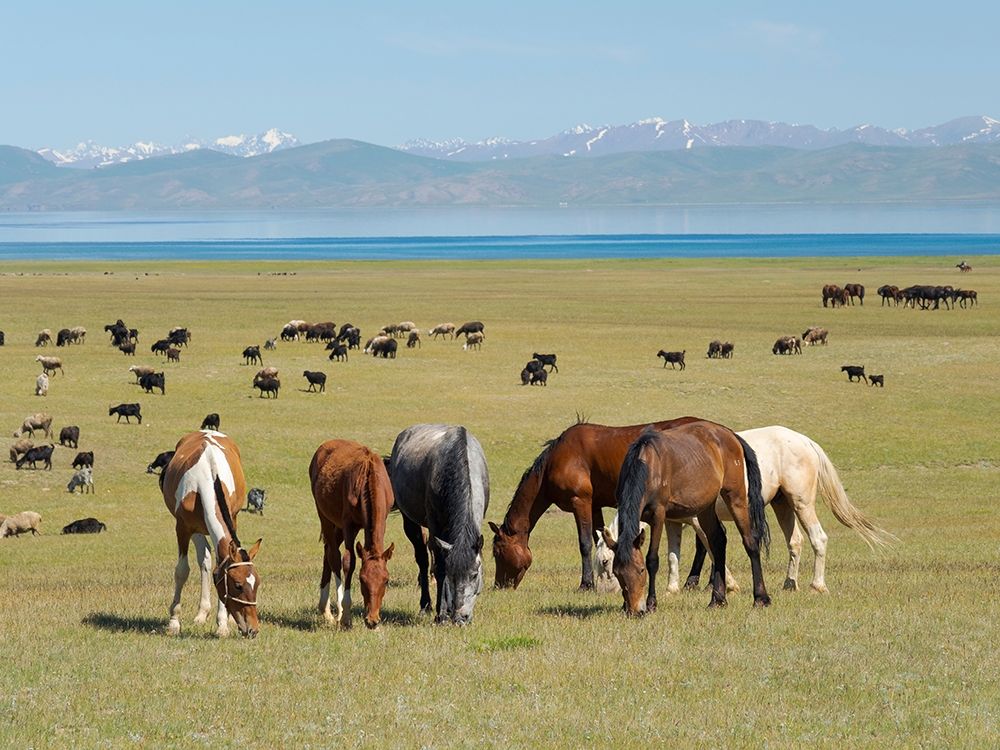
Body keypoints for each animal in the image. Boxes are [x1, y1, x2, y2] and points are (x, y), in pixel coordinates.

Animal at [161, 431, 262, 638]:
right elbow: (182, 571)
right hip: (197, 529)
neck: (208, 478)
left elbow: (220, 565)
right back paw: (201, 614)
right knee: (204, 558)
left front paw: (222, 623)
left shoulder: (233, 518)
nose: (253, 629)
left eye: (257, 584)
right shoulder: (183, 527)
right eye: (238, 585)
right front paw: (174, 621)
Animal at [309, 439, 395, 629]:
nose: (372, 620)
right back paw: (336, 612)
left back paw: (325, 610)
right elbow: (348, 561)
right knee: (333, 555)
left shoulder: (383, 520)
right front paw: (346, 616)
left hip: (338, 526)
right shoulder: (349, 525)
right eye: (362, 580)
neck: (367, 478)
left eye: (386, 580)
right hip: (325, 516)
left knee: (328, 551)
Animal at [388, 424, 490, 624]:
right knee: (423, 559)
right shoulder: (435, 526)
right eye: (452, 575)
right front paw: (441, 613)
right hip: (411, 522)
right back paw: (426, 605)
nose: (461, 618)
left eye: (475, 574)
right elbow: (439, 567)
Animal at [490, 416, 702, 590]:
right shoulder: (594, 506)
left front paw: (586, 584)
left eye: (497, 553)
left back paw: (692, 582)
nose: (499, 585)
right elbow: (598, 539)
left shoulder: (580, 502)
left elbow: (584, 543)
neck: (556, 460)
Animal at [605, 422, 771, 614]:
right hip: (706, 507)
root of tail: (730, 434)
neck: (647, 464)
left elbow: (652, 559)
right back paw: (717, 599)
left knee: (750, 542)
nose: (634, 610)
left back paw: (761, 598)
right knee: (718, 541)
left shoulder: (658, 515)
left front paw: (652, 603)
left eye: (640, 570)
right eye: (617, 573)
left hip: (735, 497)